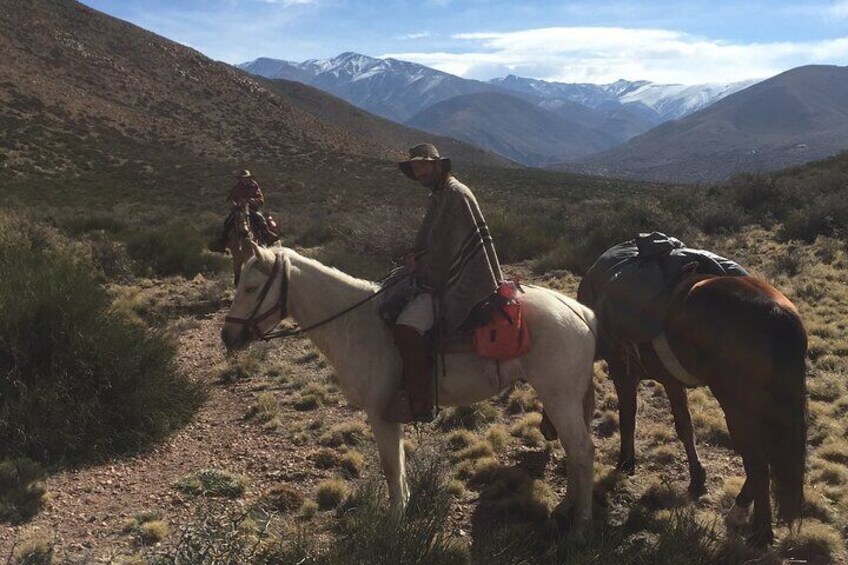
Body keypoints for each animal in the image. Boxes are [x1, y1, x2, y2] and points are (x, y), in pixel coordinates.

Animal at [222, 243, 600, 540]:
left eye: (252, 288)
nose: (228, 336)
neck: (356, 324)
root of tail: (580, 312)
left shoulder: (380, 414)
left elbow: (391, 467)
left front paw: (393, 521)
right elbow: (399, 466)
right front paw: (403, 507)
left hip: (560, 399)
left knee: (582, 451)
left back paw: (580, 528)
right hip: (565, 401)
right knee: (574, 451)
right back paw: (565, 508)